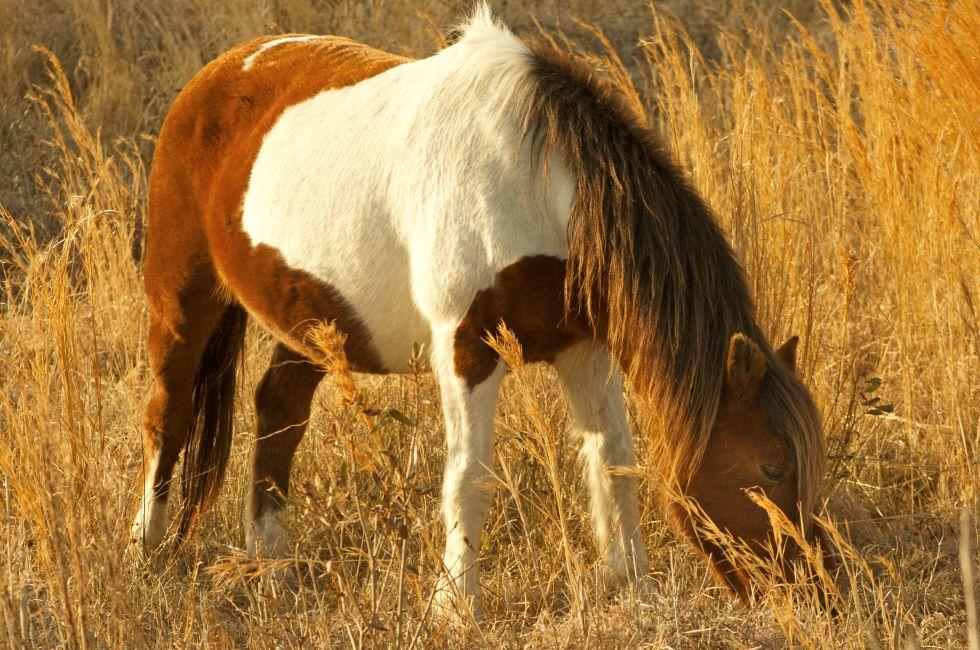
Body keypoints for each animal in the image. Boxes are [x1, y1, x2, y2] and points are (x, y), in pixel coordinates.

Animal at [131, 6, 830, 617]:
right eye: (771, 466)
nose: (814, 591)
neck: (541, 188)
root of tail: (216, 73)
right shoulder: (467, 346)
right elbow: (470, 479)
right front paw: (456, 605)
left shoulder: (583, 347)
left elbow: (613, 460)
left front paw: (631, 586)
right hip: (181, 297)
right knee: (170, 414)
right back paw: (148, 549)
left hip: (311, 321)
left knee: (279, 409)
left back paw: (269, 560)